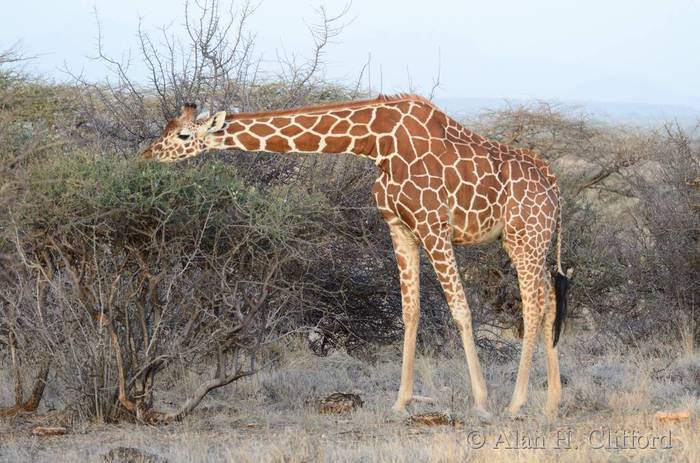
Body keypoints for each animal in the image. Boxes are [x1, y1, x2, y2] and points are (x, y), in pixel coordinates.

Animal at [140, 95, 570, 419]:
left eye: (181, 134)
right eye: (164, 128)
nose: (146, 155)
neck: (377, 141)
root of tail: (553, 184)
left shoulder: (433, 225)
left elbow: (461, 310)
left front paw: (480, 402)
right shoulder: (399, 228)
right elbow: (409, 312)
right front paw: (400, 402)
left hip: (524, 237)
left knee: (533, 306)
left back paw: (515, 403)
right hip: (530, 240)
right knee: (549, 300)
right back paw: (551, 402)